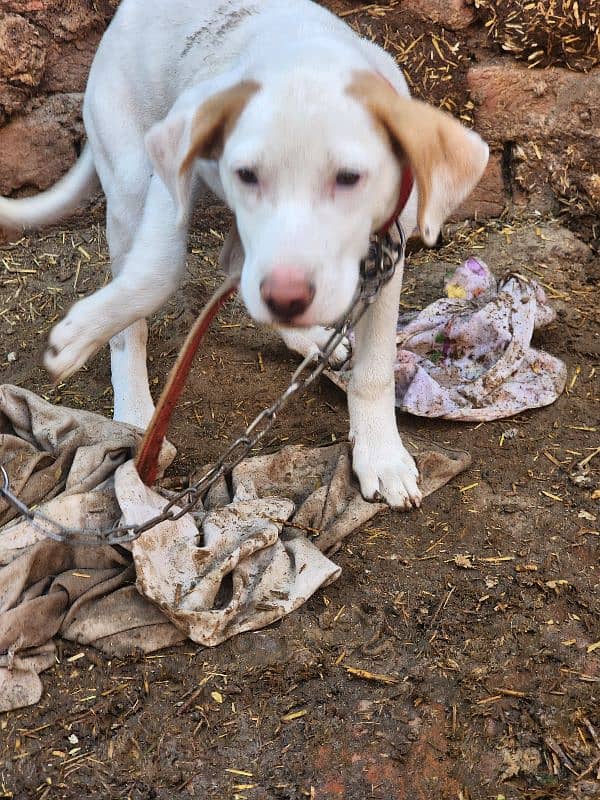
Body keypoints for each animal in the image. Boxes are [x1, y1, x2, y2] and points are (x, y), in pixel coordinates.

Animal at [0, 0, 488, 510]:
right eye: (247, 175)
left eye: (350, 178)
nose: (287, 296)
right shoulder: (178, 170)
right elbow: (159, 270)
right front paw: (81, 334)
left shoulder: (389, 251)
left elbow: (374, 370)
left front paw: (381, 456)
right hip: (130, 175)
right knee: (137, 309)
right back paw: (132, 406)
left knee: (238, 271)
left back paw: (306, 338)